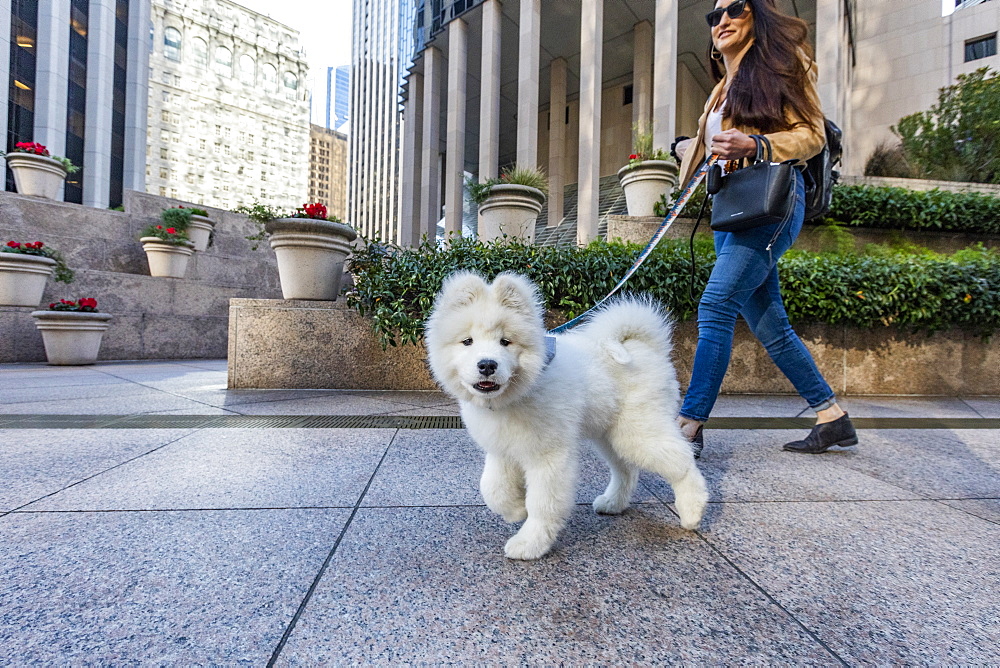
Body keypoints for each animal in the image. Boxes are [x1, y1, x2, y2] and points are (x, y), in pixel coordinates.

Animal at [424, 270, 712, 560]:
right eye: (467, 341)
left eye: (505, 342)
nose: (486, 365)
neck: (517, 394)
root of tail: (647, 346)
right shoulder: (502, 448)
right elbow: (493, 488)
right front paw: (516, 510)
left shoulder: (549, 455)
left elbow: (543, 504)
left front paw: (529, 544)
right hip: (610, 435)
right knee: (626, 470)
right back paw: (613, 503)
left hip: (638, 431)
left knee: (681, 461)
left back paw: (692, 511)